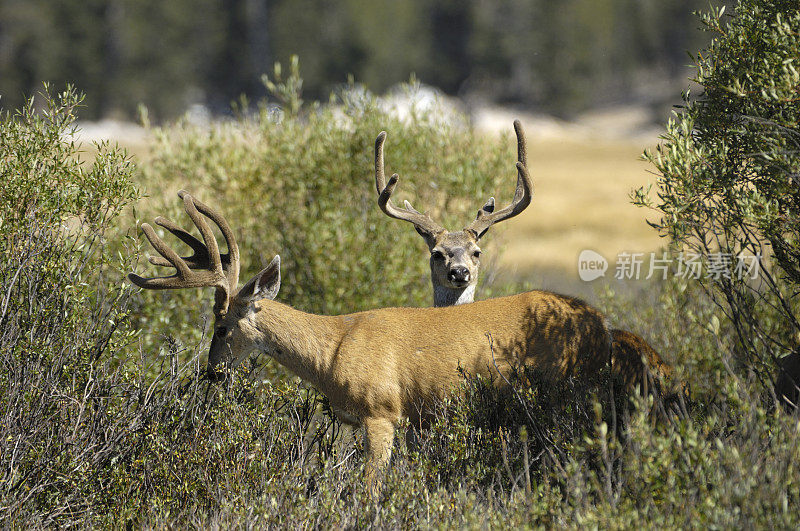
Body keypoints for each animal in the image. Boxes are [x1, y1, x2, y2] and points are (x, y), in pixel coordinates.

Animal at [128, 190, 612, 494]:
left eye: (221, 326)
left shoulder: (382, 411)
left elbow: (370, 488)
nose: (211, 372)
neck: (332, 349)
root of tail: (599, 323)